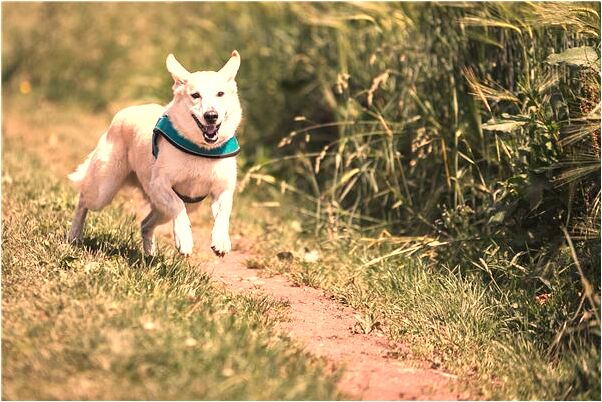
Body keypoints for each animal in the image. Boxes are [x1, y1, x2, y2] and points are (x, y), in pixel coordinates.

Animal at [66, 51, 241, 258]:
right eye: (195, 95)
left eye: (220, 94)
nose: (211, 115)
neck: (201, 149)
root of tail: (125, 111)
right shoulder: (159, 184)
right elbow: (177, 206)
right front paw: (185, 239)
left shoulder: (223, 190)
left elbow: (224, 214)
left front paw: (221, 240)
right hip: (103, 189)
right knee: (83, 200)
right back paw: (74, 235)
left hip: (177, 207)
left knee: (145, 224)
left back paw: (149, 255)